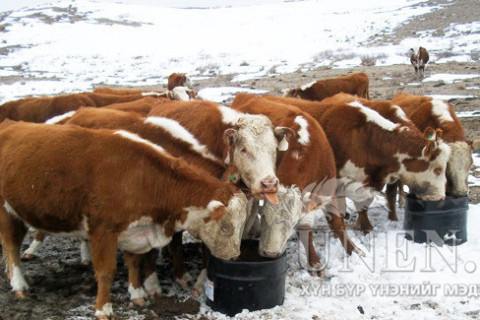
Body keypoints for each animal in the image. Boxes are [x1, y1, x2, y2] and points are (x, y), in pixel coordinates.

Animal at [0, 121, 248, 318]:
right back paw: (19, 284)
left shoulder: (135, 230)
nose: (235, 257)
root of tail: (10, 124)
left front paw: (137, 293)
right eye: (226, 227)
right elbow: (106, 271)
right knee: (11, 247)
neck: (141, 177)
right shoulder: (103, 230)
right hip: (7, 212)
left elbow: (134, 262)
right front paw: (103, 309)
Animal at [258, 94, 450, 232]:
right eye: (438, 170)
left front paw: (365, 226)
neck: (367, 139)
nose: (441, 198)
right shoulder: (340, 182)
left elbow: (366, 203)